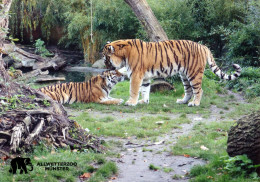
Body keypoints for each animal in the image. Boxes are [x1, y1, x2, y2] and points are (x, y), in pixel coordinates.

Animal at [102, 38, 242, 106]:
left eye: (105, 56)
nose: (105, 65)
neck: (123, 55)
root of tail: (203, 46)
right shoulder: (145, 77)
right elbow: (145, 90)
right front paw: (143, 101)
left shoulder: (136, 75)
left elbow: (134, 90)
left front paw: (131, 102)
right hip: (184, 75)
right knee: (189, 90)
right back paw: (183, 101)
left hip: (194, 73)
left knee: (198, 90)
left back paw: (194, 103)